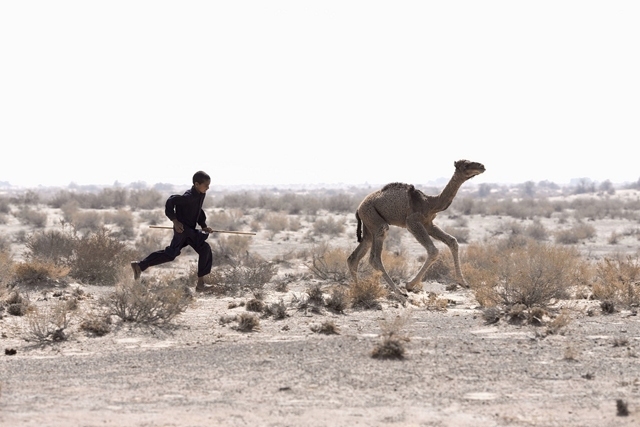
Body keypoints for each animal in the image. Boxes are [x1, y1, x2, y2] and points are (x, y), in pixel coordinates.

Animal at [350, 160, 484, 300]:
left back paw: (359, 289)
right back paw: (399, 292)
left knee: (354, 257)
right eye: (466, 165)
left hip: (369, 226)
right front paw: (409, 285)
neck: (430, 203)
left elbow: (452, 241)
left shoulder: (428, 224)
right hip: (374, 219)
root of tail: (358, 209)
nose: (482, 166)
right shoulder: (412, 222)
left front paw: (463, 282)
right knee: (375, 257)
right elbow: (433, 250)